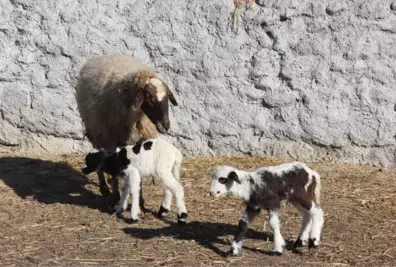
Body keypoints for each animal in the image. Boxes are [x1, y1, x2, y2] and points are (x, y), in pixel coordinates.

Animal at [76, 54, 178, 205]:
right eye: (149, 98)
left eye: (166, 97)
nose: (166, 125)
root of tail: (105, 56)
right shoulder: (111, 140)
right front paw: (116, 198)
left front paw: (140, 200)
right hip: (97, 131)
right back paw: (104, 187)